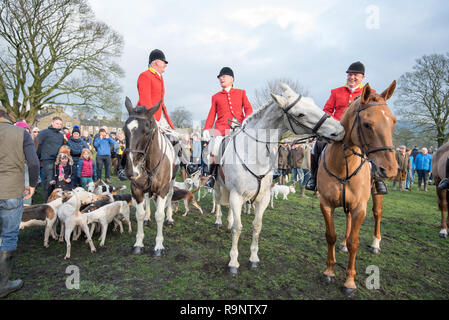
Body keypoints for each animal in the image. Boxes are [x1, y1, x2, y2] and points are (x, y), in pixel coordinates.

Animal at [124, 97, 178, 255]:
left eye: (147, 132)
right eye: (124, 130)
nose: (130, 170)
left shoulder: (162, 190)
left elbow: (159, 215)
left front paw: (159, 246)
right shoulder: (136, 189)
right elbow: (140, 214)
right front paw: (138, 243)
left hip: (171, 183)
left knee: (170, 196)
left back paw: (169, 218)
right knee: (148, 199)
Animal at [212, 84, 344, 274]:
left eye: (311, 102)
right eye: (300, 114)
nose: (339, 130)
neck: (254, 153)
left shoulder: (263, 198)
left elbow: (257, 226)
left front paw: (253, 258)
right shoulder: (237, 195)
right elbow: (238, 228)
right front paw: (233, 262)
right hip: (217, 185)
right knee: (217, 201)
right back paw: (218, 221)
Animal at [316, 81, 398, 296]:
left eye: (394, 122)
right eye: (368, 124)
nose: (390, 170)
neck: (343, 166)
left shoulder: (360, 207)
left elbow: (355, 243)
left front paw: (349, 282)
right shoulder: (326, 204)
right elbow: (331, 236)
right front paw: (329, 271)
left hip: (375, 196)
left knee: (377, 214)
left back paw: (376, 243)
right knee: (348, 220)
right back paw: (343, 244)